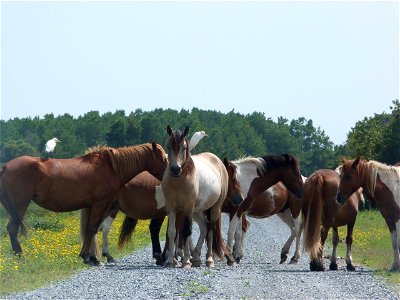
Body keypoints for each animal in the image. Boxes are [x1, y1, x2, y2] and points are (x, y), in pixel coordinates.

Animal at [0, 142, 167, 264]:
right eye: (164, 158)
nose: (171, 173)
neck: (111, 168)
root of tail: (6, 166)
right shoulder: (100, 204)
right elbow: (92, 229)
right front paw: (88, 257)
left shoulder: (99, 206)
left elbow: (91, 229)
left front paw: (91, 257)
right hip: (20, 205)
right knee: (13, 229)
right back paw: (19, 255)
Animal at [161, 125, 234, 268]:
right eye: (168, 146)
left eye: (184, 147)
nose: (175, 169)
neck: (179, 181)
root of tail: (218, 162)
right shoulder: (171, 207)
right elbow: (172, 232)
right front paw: (170, 261)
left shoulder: (188, 208)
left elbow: (186, 231)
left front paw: (186, 261)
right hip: (198, 211)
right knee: (204, 228)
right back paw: (196, 258)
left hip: (215, 208)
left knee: (210, 230)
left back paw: (209, 259)